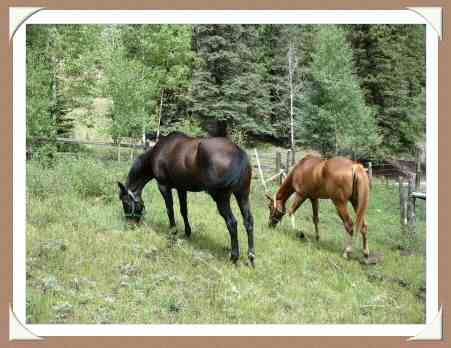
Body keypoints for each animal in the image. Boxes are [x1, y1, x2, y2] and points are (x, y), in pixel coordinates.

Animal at [118, 132, 256, 266]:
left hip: (222, 199)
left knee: (232, 223)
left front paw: (173, 232)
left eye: (125, 202)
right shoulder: (181, 188)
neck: (159, 151)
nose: (130, 224)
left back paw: (234, 257)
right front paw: (187, 232)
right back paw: (251, 257)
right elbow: (183, 210)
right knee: (248, 221)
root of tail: (238, 152)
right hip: (243, 195)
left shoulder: (163, 186)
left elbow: (170, 210)